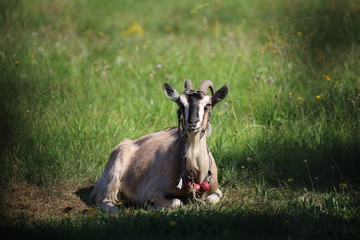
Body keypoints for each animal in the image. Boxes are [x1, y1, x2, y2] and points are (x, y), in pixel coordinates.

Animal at [89, 79, 228, 212]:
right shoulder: (151, 191)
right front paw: (150, 205)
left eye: (208, 104)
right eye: (180, 104)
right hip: (114, 174)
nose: (193, 122)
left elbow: (211, 199)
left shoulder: (216, 190)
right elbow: (176, 202)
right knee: (103, 198)